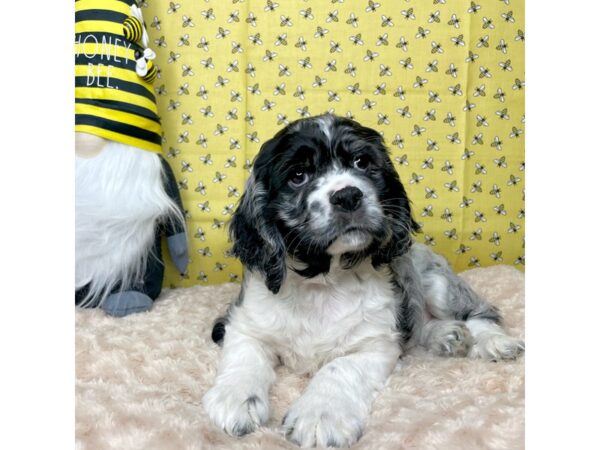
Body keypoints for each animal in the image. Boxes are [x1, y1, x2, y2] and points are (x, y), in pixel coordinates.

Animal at [204, 115, 524, 446]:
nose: (347, 195)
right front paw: (234, 400)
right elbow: (245, 358)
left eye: (362, 162)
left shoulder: (374, 344)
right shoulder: (246, 325)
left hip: (438, 283)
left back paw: (494, 341)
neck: (324, 282)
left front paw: (319, 415)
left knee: (479, 312)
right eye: (298, 175)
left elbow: (338, 367)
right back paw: (446, 335)